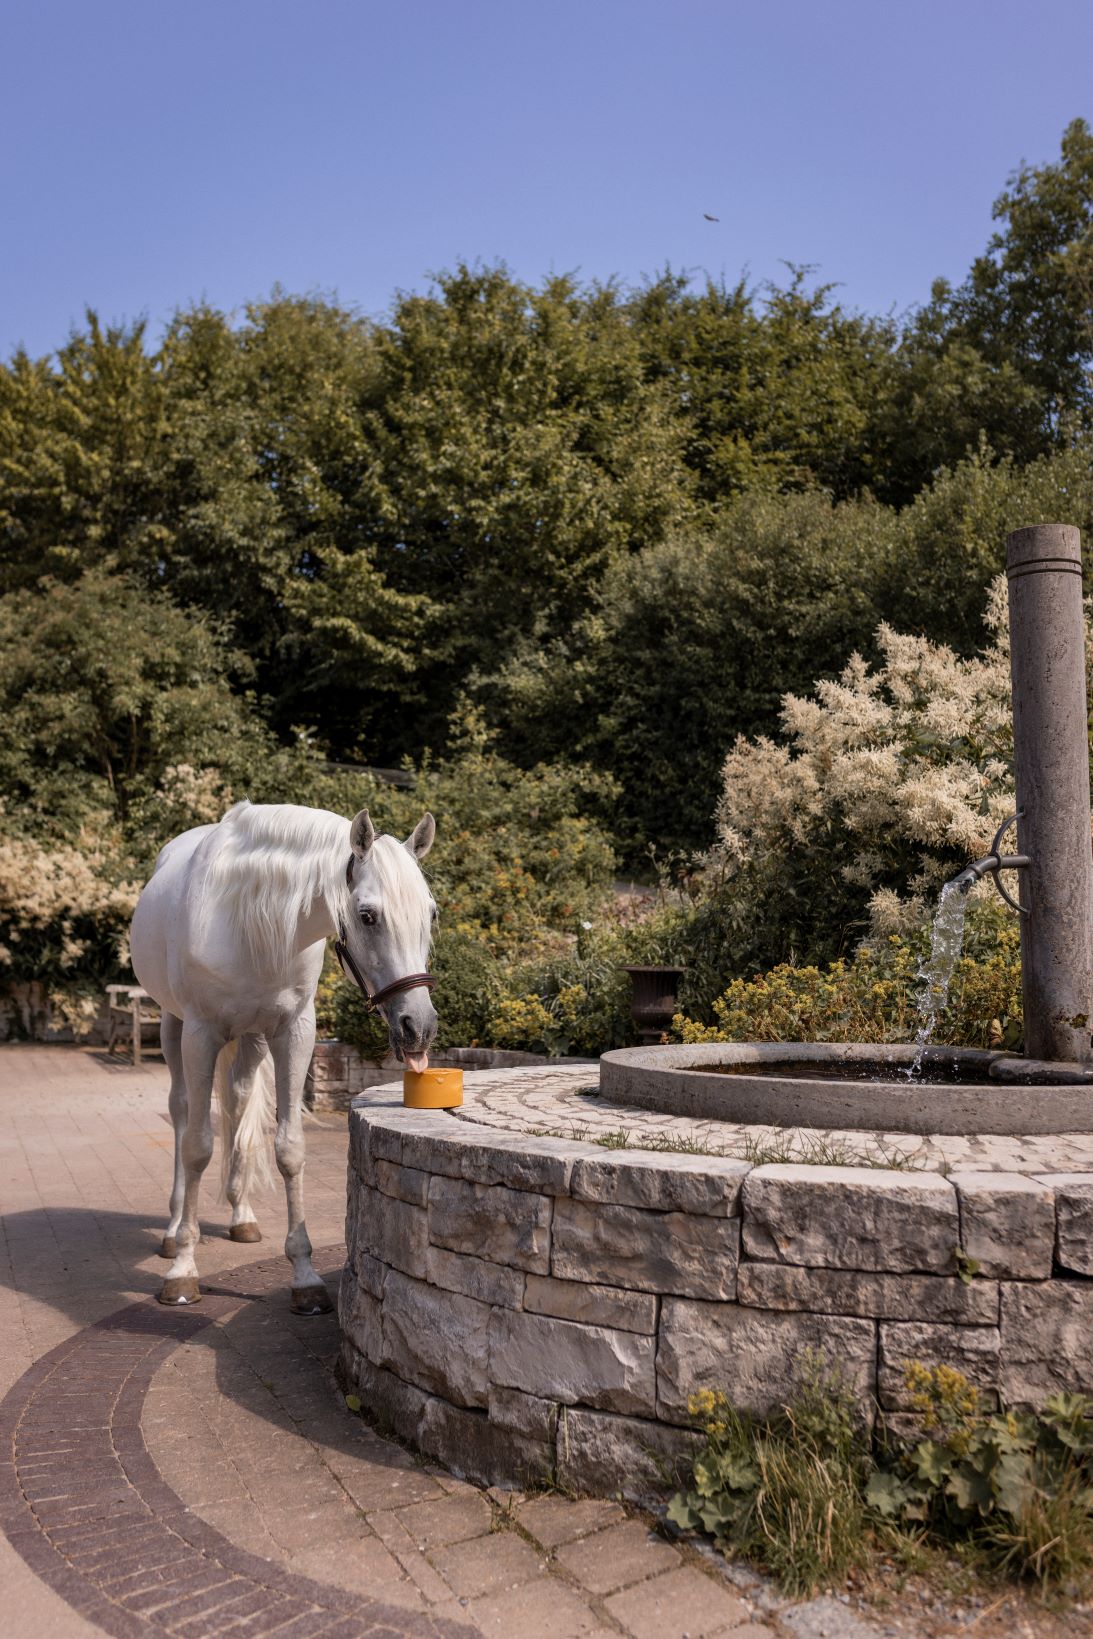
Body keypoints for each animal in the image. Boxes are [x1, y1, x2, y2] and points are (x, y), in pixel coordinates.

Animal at [128, 799, 435, 1311]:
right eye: (368, 916)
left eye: (431, 913)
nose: (420, 1026)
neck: (242, 914)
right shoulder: (200, 1034)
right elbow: (197, 1147)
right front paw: (183, 1271)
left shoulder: (293, 1034)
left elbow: (288, 1148)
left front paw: (305, 1276)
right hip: (173, 1025)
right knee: (182, 1111)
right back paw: (173, 1230)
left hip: (250, 1041)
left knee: (237, 1102)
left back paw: (242, 1215)